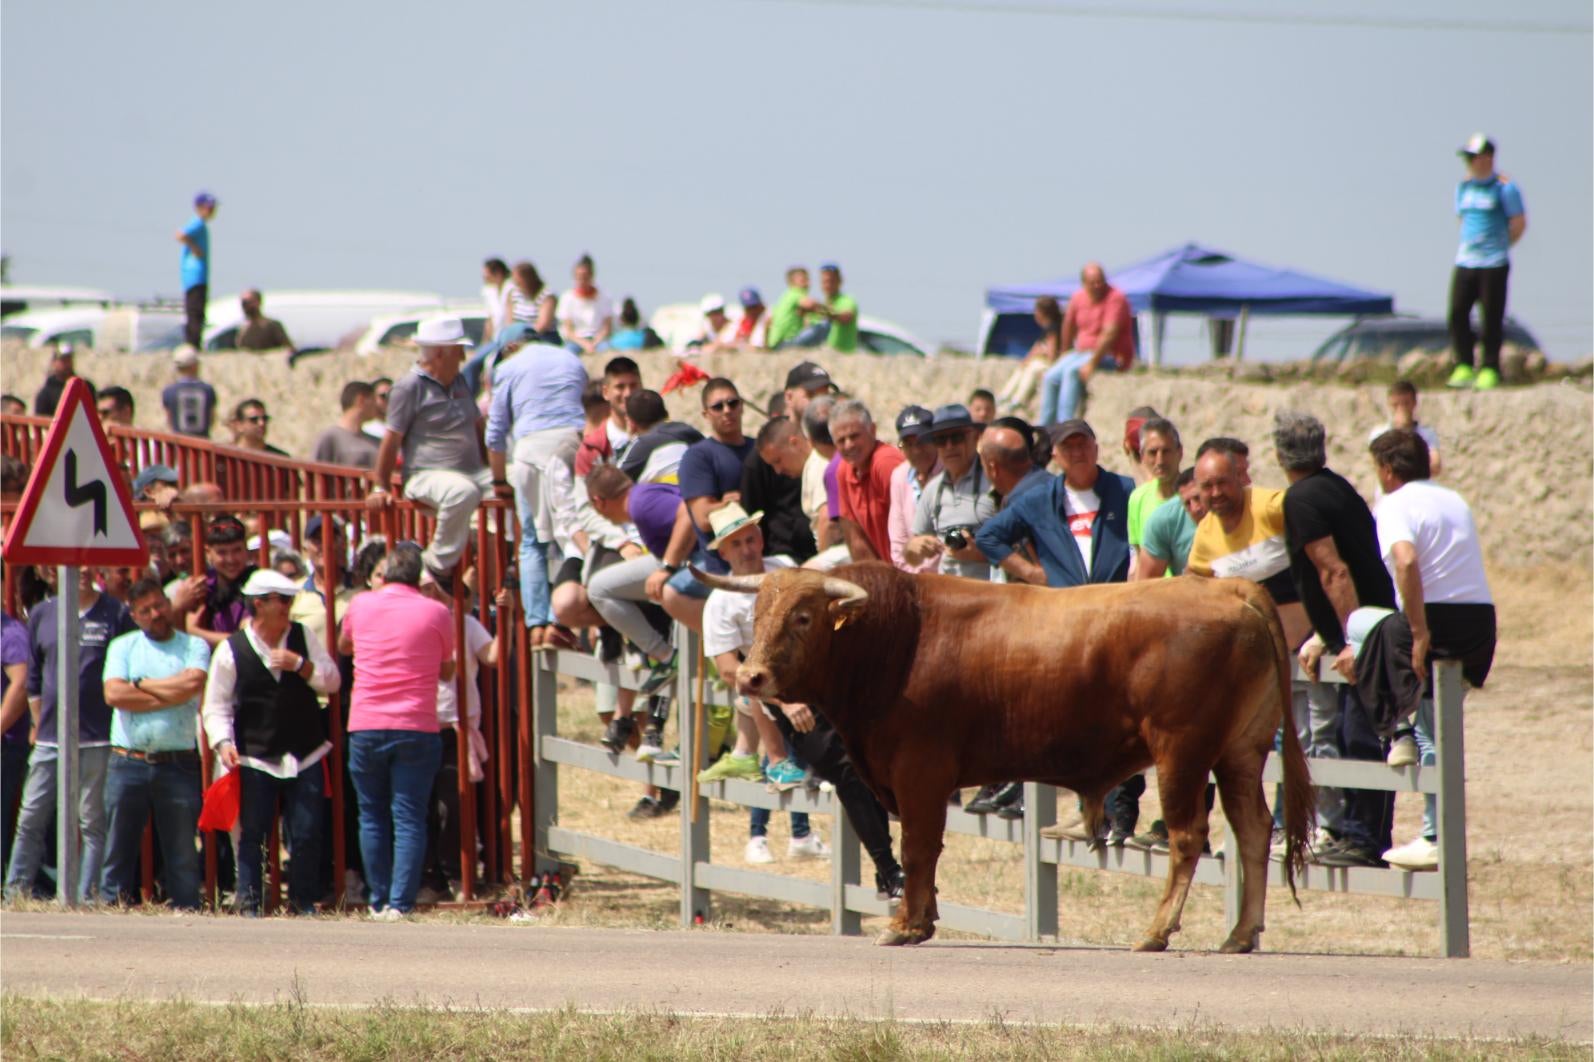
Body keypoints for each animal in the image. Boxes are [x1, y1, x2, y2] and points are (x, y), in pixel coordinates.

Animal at [694, 561, 1307, 950]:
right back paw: (1240, 935)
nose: (751, 676)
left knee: (1187, 837)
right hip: (1241, 751)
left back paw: (1157, 932)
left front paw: (905, 924)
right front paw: (924, 920)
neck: (900, 638)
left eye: (803, 616)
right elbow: (926, 852)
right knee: (1253, 831)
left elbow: (917, 847)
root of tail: (1232, 589)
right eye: (756, 614)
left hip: (1182, 752)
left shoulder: (919, 773)